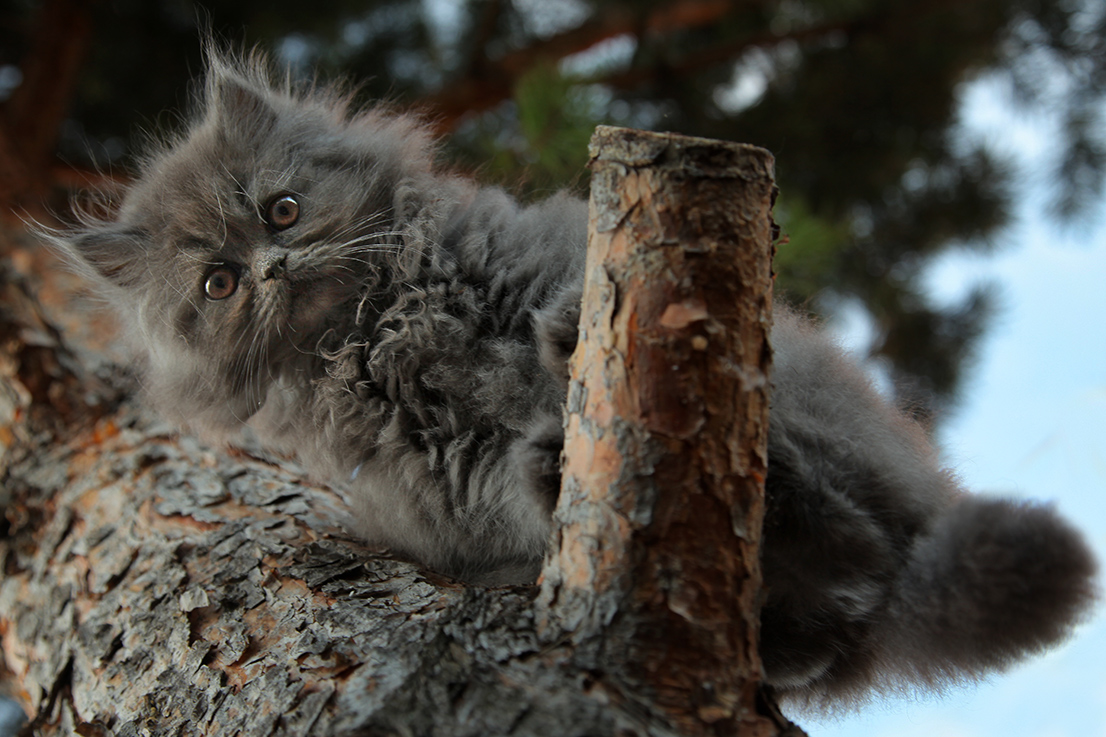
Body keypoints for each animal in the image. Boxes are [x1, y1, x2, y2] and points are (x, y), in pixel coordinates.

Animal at [58, 53, 1097, 708]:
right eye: (218, 282)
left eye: (281, 209)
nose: (272, 269)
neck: (373, 325)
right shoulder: (437, 470)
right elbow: (490, 485)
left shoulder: (528, 268)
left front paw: (548, 347)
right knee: (839, 598)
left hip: (805, 398)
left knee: (852, 527)